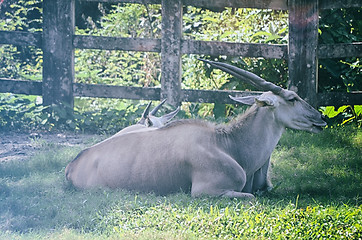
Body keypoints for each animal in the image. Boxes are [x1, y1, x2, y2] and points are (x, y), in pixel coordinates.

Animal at [64, 60, 326, 199]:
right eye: (292, 98)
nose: (321, 119)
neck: (226, 144)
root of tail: (72, 165)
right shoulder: (207, 192)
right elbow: (251, 197)